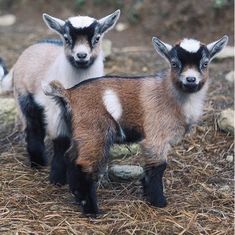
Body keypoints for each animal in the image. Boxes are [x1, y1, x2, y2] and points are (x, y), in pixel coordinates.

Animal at [0, 9, 119, 184]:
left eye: (97, 38)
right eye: (67, 38)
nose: (81, 55)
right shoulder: (56, 111)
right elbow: (60, 140)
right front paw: (57, 178)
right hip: (23, 95)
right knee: (33, 126)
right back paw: (38, 162)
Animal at [42, 34, 228, 215]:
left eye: (205, 63)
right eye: (174, 64)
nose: (191, 79)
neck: (169, 94)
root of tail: (69, 94)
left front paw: (147, 195)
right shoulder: (155, 137)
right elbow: (158, 167)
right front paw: (159, 202)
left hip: (79, 133)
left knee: (69, 157)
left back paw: (77, 196)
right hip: (94, 133)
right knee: (84, 165)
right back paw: (93, 210)